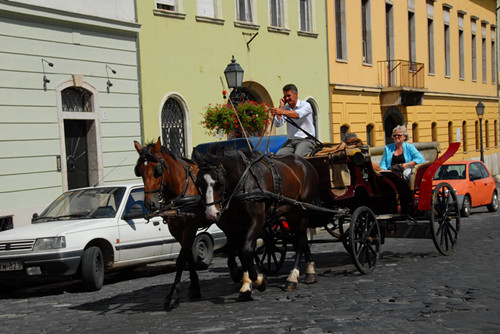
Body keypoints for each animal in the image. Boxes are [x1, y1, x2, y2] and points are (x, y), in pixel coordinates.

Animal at [133, 138, 205, 310]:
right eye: (139, 171)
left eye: (157, 170)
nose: (150, 203)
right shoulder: (176, 230)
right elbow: (188, 256)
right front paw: (194, 287)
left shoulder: (190, 227)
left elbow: (180, 260)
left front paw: (173, 295)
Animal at [193, 144, 318, 300]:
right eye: (198, 183)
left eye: (218, 182)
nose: (211, 213)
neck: (243, 183)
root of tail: (305, 162)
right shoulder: (233, 226)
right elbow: (238, 253)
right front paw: (244, 281)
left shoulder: (257, 220)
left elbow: (246, 251)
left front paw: (258, 280)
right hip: (291, 213)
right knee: (302, 239)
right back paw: (310, 272)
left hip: (301, 211)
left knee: (300, 241)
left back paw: (293, 278)